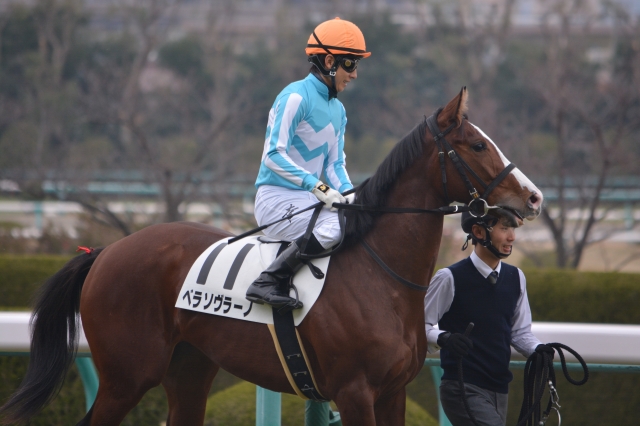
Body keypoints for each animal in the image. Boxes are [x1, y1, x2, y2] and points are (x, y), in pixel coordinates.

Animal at [0, 87, 543, 426]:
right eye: (478, 145)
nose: (534, 197)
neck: (382, 276)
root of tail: (107, 251)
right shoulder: (356, 392)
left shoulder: (392, 393)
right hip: (127, 375)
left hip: (188, 369)